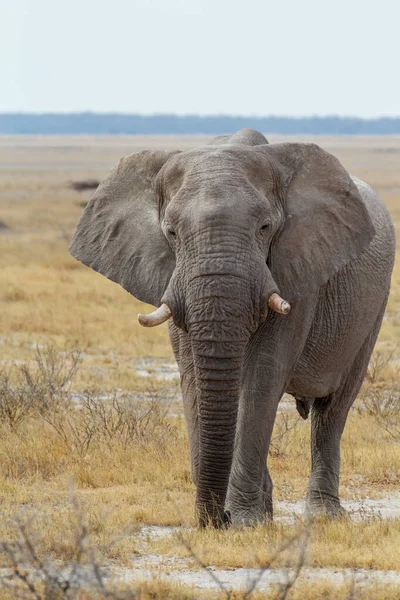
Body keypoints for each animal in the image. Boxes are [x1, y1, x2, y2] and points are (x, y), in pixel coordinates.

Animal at [70, 129, 396, 528]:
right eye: (171, 232)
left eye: (265, 228)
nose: (217, 520)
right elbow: (193, 377)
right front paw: (238, 520)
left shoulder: (297, 271)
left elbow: (261, 379)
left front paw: (245, 521)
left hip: (374, 307)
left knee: (332, 409)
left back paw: (324, 515)